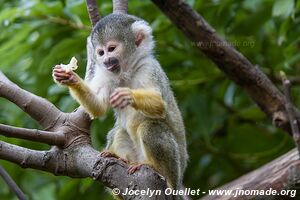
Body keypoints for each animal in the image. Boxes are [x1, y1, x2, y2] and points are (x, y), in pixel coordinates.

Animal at [52, 14, 188, 191]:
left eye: (111, 49)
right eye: (101, 52)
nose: (106, 60)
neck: (126, 71)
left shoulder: (149, 67)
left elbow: (160, 106)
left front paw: (127, 95)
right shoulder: (106, 74)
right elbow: (98, 108)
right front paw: (70, 78)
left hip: (175, 169)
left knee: (150, 127)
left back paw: (156, 169)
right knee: (119, 132)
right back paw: (121, 160)